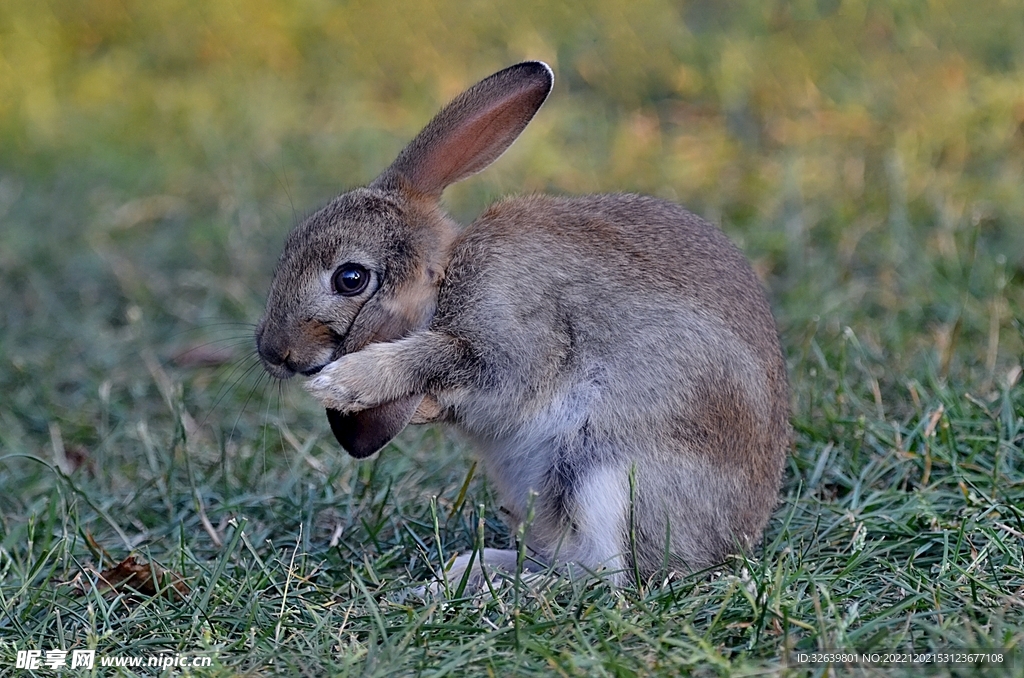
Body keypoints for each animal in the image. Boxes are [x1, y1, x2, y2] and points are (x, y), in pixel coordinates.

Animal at [256, 61, 790, 585]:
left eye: (350, 278)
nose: (272, 352)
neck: (445, 278)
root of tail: (726, 544)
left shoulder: (517, 339)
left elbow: (448, 358)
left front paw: (343, 384)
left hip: (603, 472)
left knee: (603, 574)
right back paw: (471, 569)